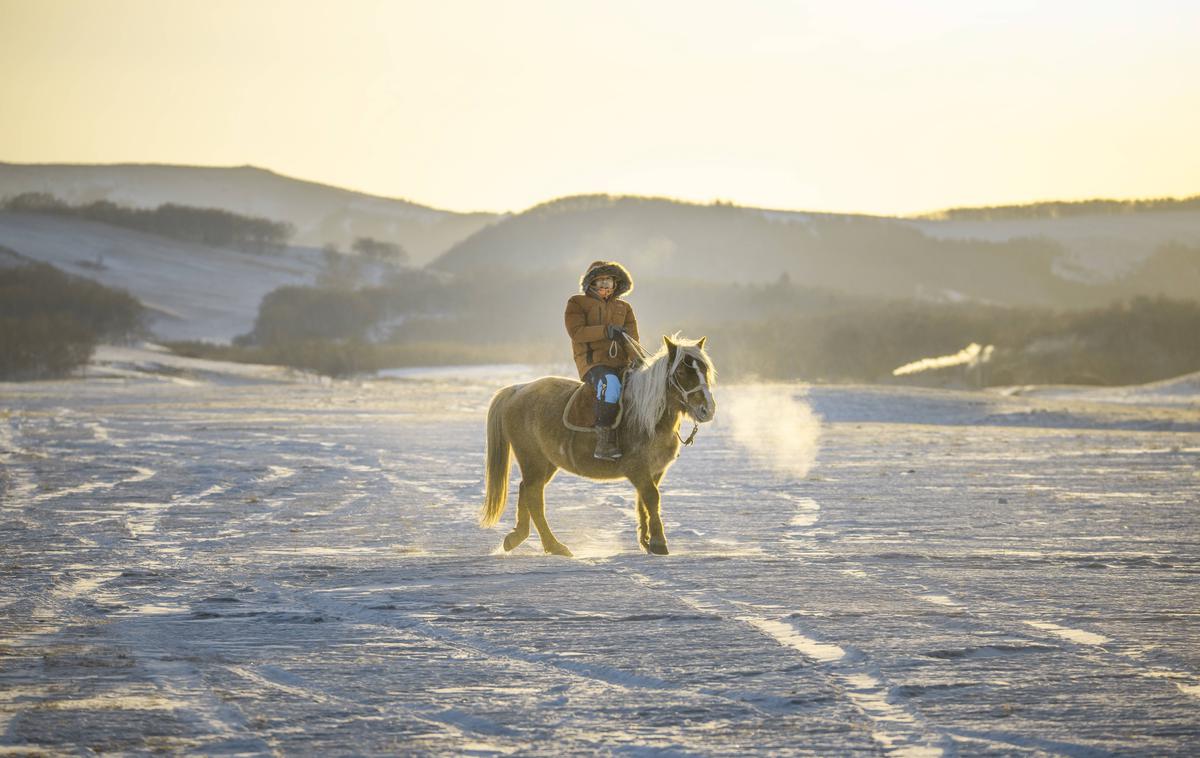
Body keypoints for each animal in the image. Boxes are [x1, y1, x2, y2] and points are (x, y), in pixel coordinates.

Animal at [477, 335, 715, 556]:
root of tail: (517, 389)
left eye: (704, 370)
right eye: (681, 372)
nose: (707, 410)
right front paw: (658, 542)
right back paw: (554, 545)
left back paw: (517, 537)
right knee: (534, 497)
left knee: (525, 490)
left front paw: (646, 541)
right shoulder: (637, 468)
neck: (648, 416)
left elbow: (643, 502)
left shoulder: (655, 470)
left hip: (546, 462)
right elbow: (651, 498)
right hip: (532, 459)